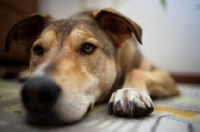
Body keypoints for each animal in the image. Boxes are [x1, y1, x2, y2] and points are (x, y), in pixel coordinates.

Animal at [5, 8, 180, 124]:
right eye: (37, 50)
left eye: (88, 47)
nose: (35, 91)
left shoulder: (165, 76)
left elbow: (137, 71)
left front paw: (129, 92)